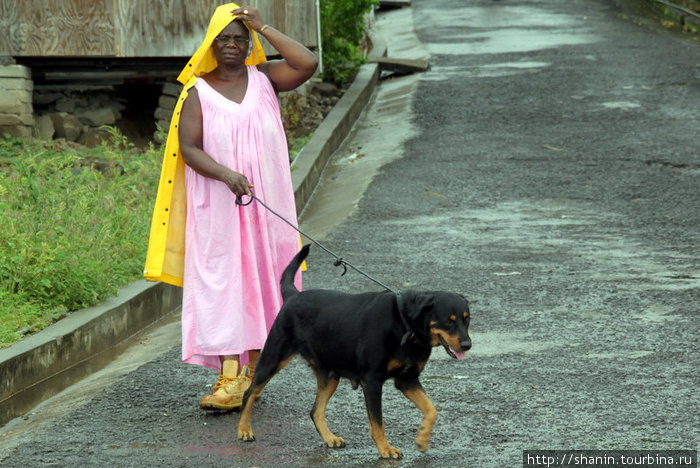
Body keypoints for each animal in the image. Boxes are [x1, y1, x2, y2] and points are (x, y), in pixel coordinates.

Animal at [235, 245, 470, 458]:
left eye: (467, 319)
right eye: (449, 321)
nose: (468, 344)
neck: (406, 325)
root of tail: (293, 295)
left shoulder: (407, 380)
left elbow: (432, 410)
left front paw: (422, 439)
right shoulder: (373, 381)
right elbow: (378, 422)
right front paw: (385, 449)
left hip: (330, 375)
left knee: (315, 411)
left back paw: (330, 438)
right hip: (273, 358)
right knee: (250, 393)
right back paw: (244, 430)